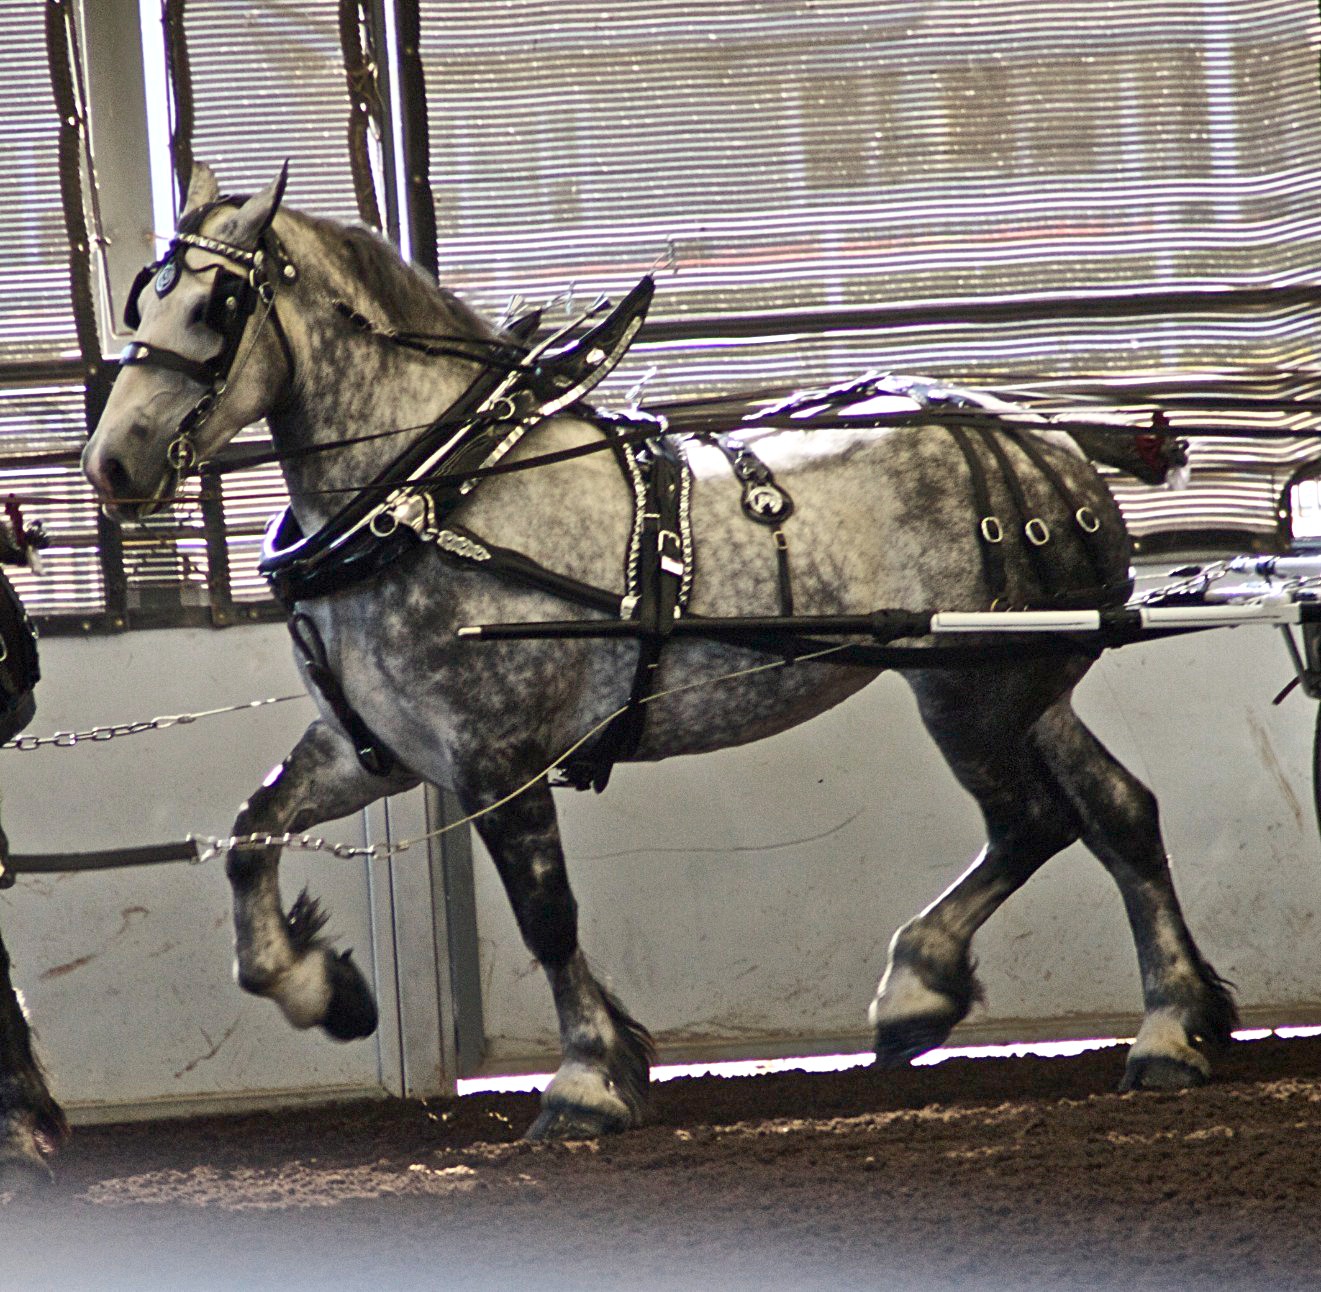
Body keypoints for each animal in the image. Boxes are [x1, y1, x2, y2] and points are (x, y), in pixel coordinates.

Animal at [85, 163, 1236, 1136]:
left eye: (215, 308)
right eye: (140, 301)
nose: (112, 463)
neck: (434, 492)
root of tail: (1045, 436)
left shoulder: (495, 756)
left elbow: (546, 914)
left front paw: (588, 1078)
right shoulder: (378, 748)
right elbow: (251, 836)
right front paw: (323, 988)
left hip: (965, 689)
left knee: (1032, 821)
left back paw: (920, 988)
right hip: (1028, 684)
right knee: (1118, 813)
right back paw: (1170, 1029)